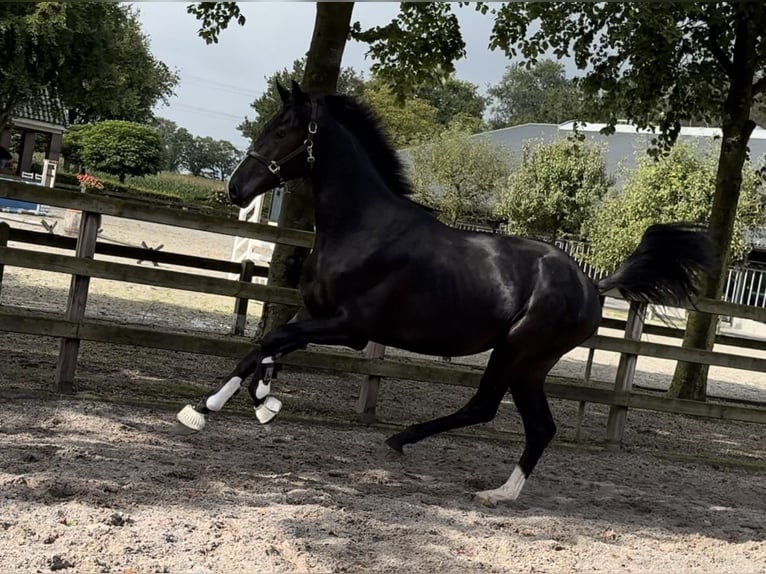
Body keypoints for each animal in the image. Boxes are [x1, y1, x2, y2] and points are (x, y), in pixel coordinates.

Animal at [177, 82, 716, 508]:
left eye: (282, 132)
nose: (235, 189)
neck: (362, 228)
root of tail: (592, 283)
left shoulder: (351, 328)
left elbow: (272, 341)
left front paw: (241, 405)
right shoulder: (317, 314)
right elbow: (265, 345)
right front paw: (225, 405)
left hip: (518, 352)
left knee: (488, 409)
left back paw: (418, 450)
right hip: (529, 365)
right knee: (538, 426)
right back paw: (496, 490)